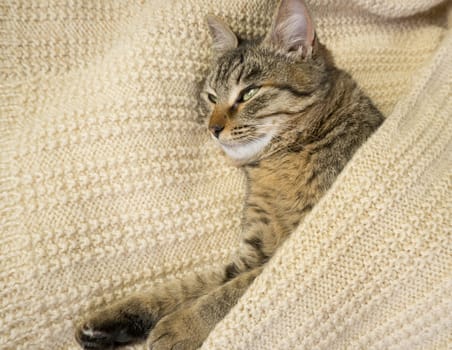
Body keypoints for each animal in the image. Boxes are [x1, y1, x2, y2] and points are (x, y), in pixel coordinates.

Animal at [76, 0, 384, 348]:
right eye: (211, 97)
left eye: (248, 93)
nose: (212, 129)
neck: (280, 161)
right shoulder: (252, 254)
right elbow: (186, 286)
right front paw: (114, 318)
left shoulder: (286, 254)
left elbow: (225, 297)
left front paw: (180, 326)